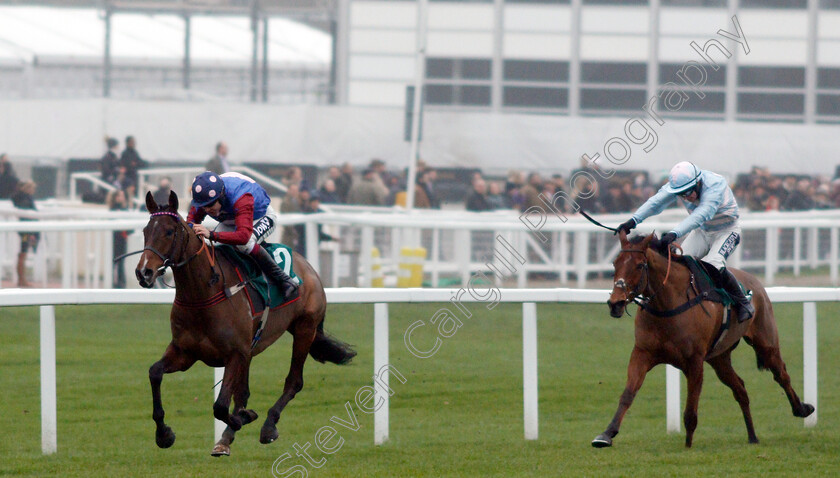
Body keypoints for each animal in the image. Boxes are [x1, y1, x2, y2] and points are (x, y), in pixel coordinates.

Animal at [134, 192, 354, 458]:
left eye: (168, 231)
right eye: (146, 231)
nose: (143, 272)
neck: (203, 294)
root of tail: (309, 268)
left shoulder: (234, 354)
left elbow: (220, 406)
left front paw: (244, 418)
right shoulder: (185, 353)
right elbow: (155, 372)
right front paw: (164, 434)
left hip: (305, 328)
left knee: (294, 382)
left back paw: (268, 426)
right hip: (254, 347)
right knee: (243, 393)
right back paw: (227, 437)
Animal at [592, 231, 812, 448]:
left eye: (639, 265)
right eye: (615, 263)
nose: (615, 303)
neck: (667, 305)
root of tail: (754, 281)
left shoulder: (694, 361)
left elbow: (691, 409)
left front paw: (688, 445)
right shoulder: (642, 353)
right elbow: (628, 394)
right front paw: (606, 434)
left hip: (766, 342)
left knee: (781, 374)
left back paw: (802, 409)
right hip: (719, 358)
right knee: (740, 388)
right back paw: (752, 436)